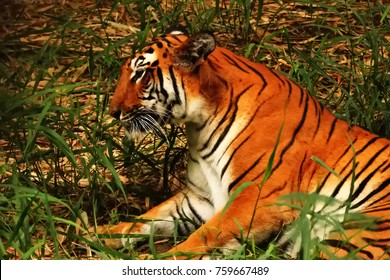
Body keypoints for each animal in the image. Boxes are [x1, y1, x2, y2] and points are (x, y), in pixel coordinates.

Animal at [93, 29, 390, 260]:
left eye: (140, 74)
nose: (113, 112)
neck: (200, 124)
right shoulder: (200, 199)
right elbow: (144, 220)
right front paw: (94, 233)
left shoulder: (256, 198)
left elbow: (203, 237)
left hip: (362, 231)